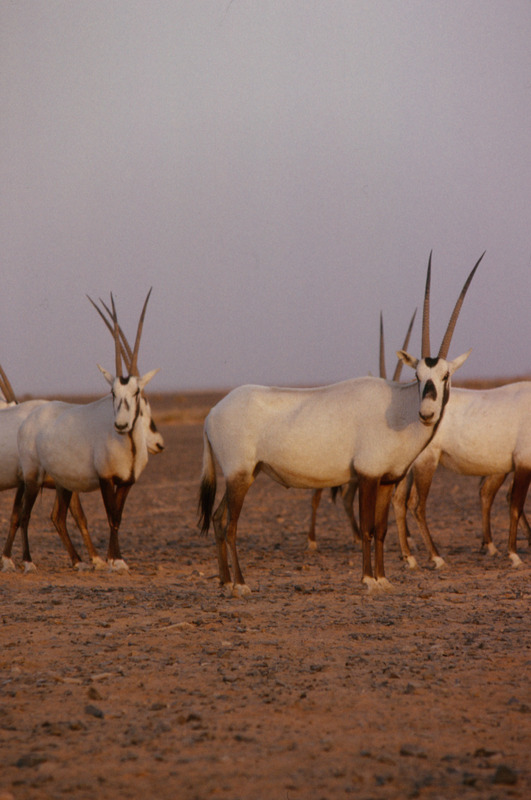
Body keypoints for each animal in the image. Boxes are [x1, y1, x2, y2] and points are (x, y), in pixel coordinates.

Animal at [13, 291, 160, 572]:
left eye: (136, 392)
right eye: (112, 392)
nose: (121, 425)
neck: (129, 445)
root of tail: (28, 421)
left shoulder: (127, 482)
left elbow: (118, 517)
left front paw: (115, 559)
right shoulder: (105, 478)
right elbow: (111, 516)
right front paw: (115, 560)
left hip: (62, 483)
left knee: (57, 516)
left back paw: (79, 561)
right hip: (33, 476)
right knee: (25, 515)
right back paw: (28, 562)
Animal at [392, 377, 531, 569]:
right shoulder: (523, 463)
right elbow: (516, 507)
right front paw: (514, 556)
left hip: (408, 467)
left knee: (399, 502)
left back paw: (410, 558)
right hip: (426, 462)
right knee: (416, 505)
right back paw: (436, 557)